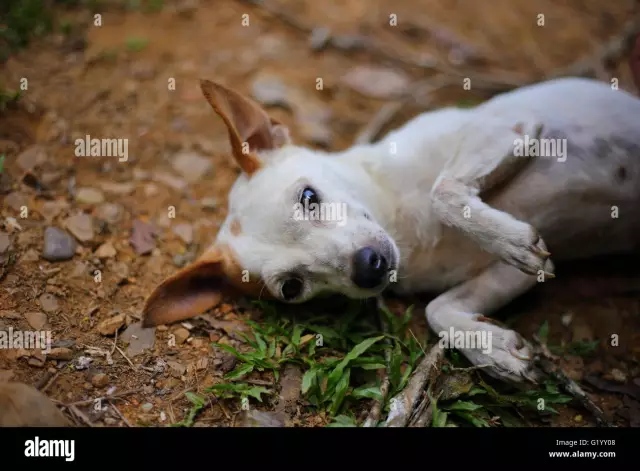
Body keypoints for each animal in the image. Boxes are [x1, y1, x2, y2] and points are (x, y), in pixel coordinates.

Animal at [142, 76, 640, 384]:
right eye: (291, 288)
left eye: (309, 196)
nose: (369, 267)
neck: (406, 226)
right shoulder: (516, 273)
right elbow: (439, 311)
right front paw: (494, 349)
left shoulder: (513, 125)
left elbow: (444, 190)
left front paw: (509, 239)